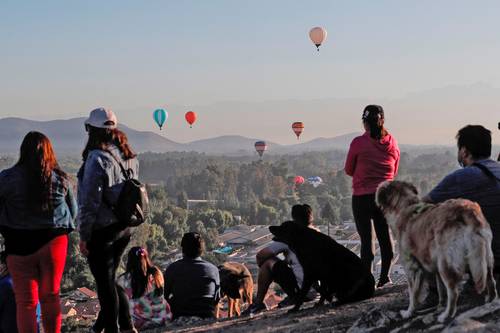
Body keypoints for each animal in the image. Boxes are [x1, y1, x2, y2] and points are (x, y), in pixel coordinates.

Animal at [376, 180, 498, 320]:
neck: (406, 206)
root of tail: (467, 210)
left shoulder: (412, 266)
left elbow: (413, 293)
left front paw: (409, 312)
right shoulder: (433, 266)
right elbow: (440, 289)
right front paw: (440, 304)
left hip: (445, 263)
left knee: (454, 291)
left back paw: (446, 315)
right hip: (485, 257)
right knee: (491, 280)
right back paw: (490, 299)